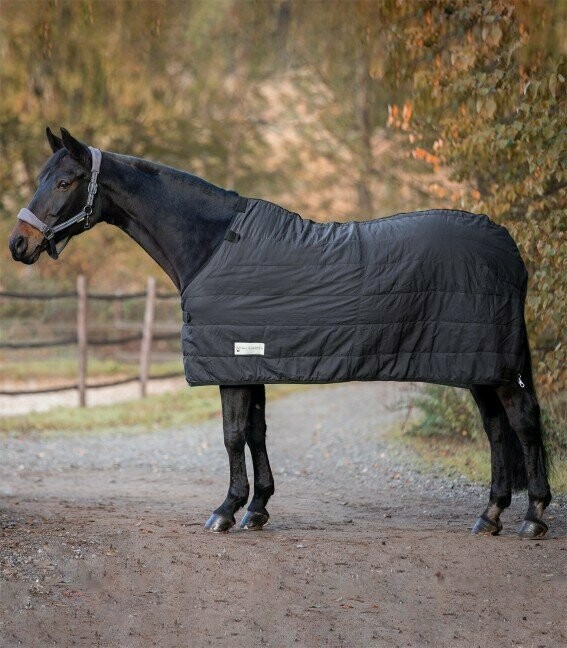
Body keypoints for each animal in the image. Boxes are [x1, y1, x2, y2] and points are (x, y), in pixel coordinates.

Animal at [9, 128, 552, 539]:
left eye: (65, 181)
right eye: (41, 177)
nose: (18, 243)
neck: (212, 246)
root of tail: (509, 247)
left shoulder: (230, 361)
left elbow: (232, 436)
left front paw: (226, 510)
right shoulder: (249, 360)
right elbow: (256, 432)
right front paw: (257, 508)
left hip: (491, 364)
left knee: (522, 420)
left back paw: (534, 516)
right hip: (479, 365)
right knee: (497, 427)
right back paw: (490, 515)